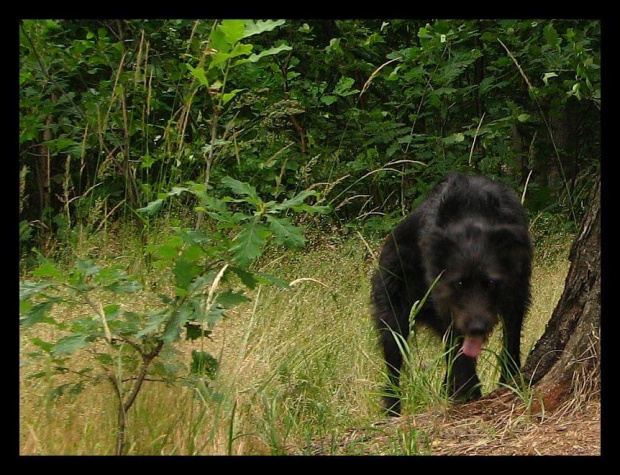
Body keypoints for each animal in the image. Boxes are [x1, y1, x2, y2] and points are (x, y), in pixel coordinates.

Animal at [370, 174, 532, 416]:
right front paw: (468, 393)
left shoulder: (517, 296)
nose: (477, 328)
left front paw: (509, 380)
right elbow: (461, 355)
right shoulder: (448, 309)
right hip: (394, 318)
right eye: (459, 283)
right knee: (393, 367)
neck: (472, 214)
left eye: (491, 282)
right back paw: (393, 410)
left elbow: (510, 341)